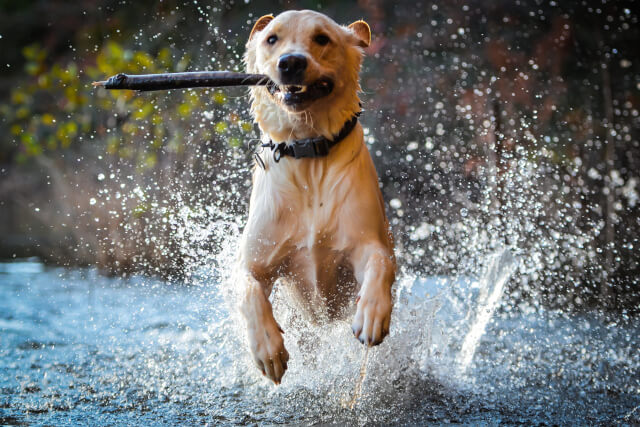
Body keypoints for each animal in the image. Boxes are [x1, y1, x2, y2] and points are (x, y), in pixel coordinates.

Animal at [239, 10, 396, 384]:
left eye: (322, 38)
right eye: (271, 39)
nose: (291, 63)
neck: (307, 152)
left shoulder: (366, 242)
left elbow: (381, 262)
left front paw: (372, 315)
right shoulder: (255, 260)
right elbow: (248, 290)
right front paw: (267, 348)